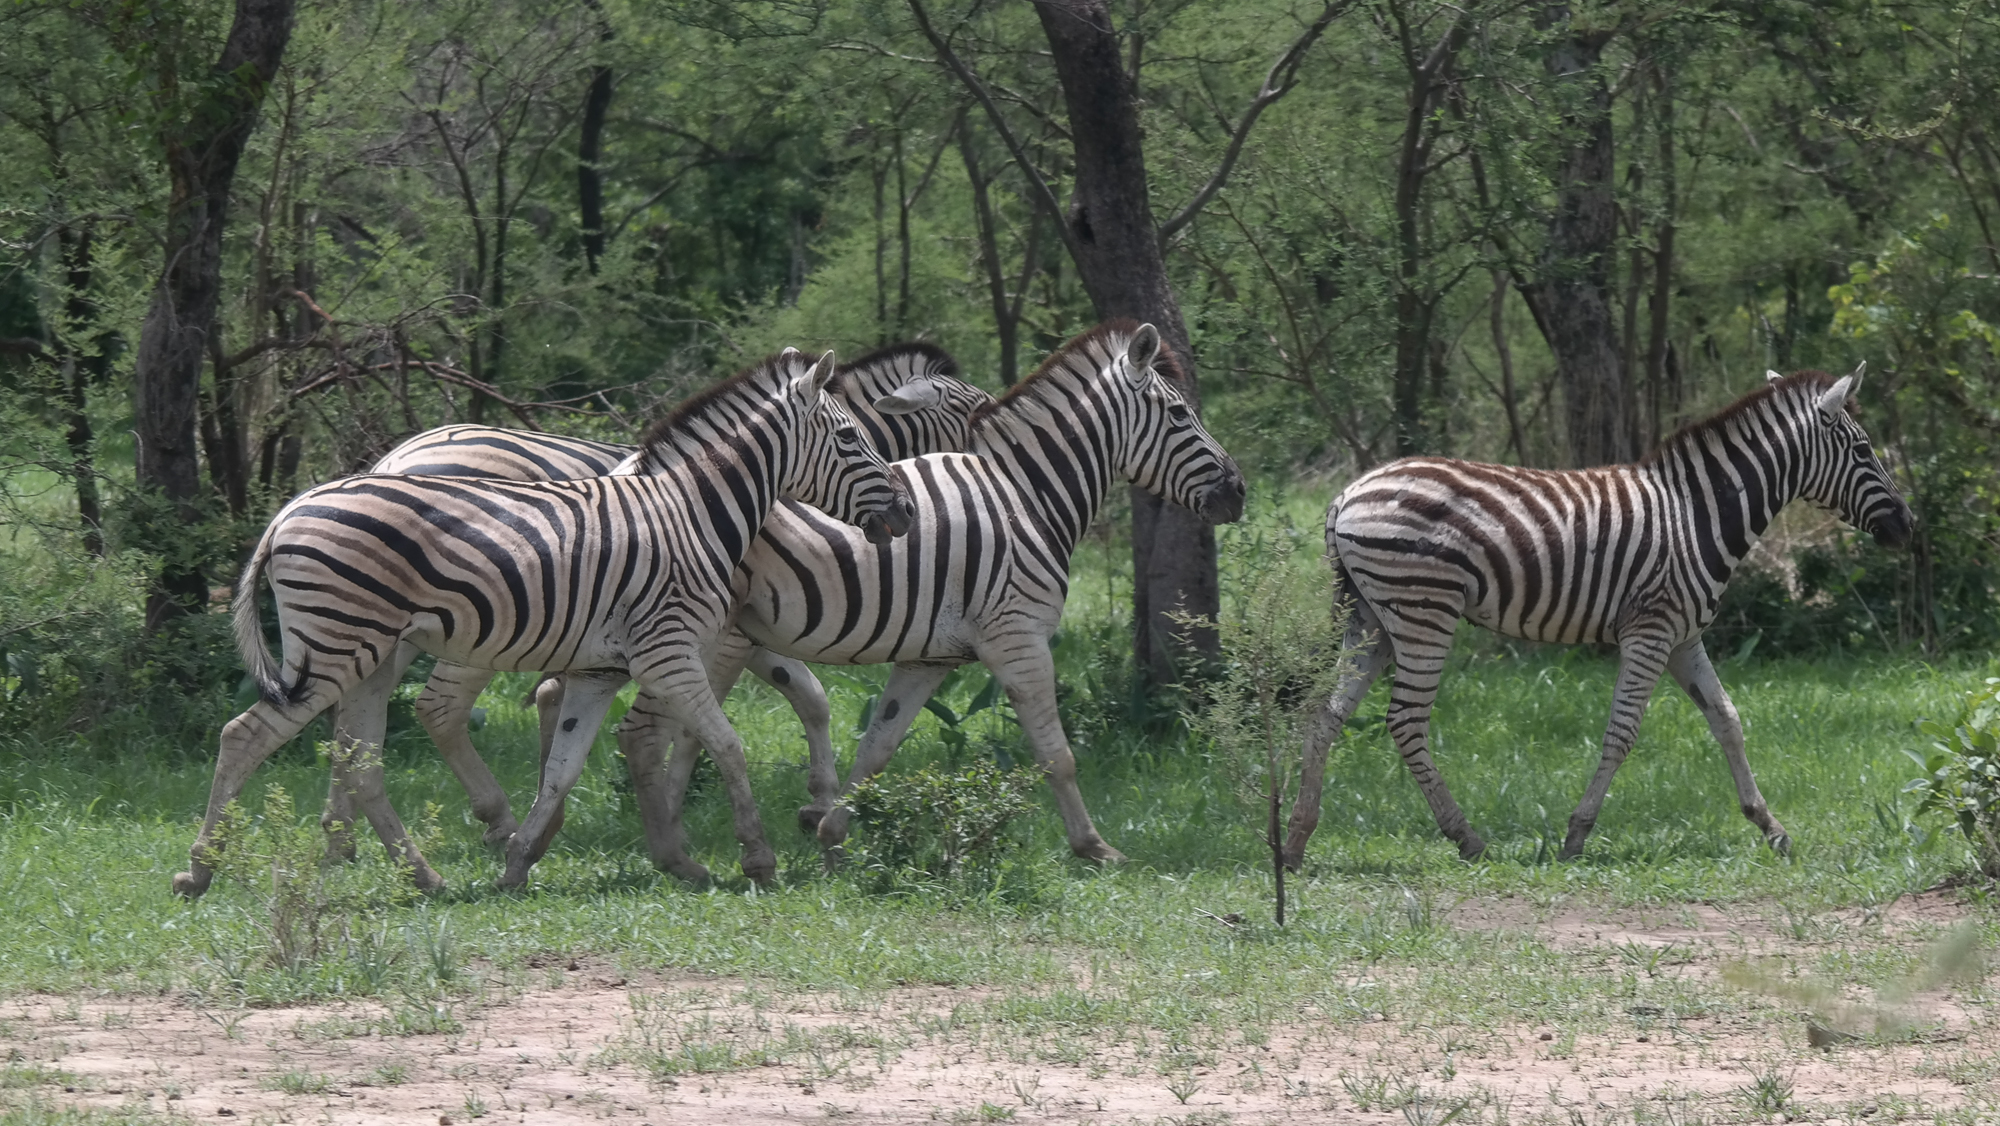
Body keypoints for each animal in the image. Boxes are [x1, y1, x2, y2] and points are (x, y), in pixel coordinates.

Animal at [178, 350, 916, 900]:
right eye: (851, 437)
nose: (909, 512)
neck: (692, 512)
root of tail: (288, 511)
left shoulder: (599, 667)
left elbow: (562, 769)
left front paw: (520, 861)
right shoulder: (669, 649)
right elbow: (727, 745)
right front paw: (757, 858)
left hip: (366, 655)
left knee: (360, 761)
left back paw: (424, 876)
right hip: (337, 649)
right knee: (245, 736)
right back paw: (200, 870)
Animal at [326, 344, 1000, 856]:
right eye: (979, 415)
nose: (997, 501)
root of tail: (394, 457)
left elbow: (805, 699)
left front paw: (814, 805)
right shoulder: (729, 628)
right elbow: (757, 707)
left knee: (354, 710)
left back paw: (343, 834)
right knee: (437, 707)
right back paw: (493, 821)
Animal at [620, 320, 1248, 880]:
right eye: (1180, 414)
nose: (1239, 491)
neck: (1026, 497)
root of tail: (648, 475)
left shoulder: (930, 657)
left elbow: (877, 748)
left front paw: (831, 838)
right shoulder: (1018, 638)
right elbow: (1057, 755)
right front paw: (1093, 848)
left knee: (674, 730)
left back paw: (675, 845)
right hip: (702, 637)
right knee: (659, 730)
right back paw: (684, 850)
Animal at [1272, 366, 1912, 868]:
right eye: (1863, 451)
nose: (1908, 526)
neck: (1696, 513)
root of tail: (1346, 495)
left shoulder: (1684, 637)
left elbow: (1727, 718)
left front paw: (1769, 826)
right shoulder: (1651, 631)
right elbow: (1622, 732)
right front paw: (1576, 836)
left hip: (1371, 620)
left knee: (1325, 715)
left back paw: (1298, 841)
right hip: (1423, 613)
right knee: (1405, 722)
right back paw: (1467, 839)